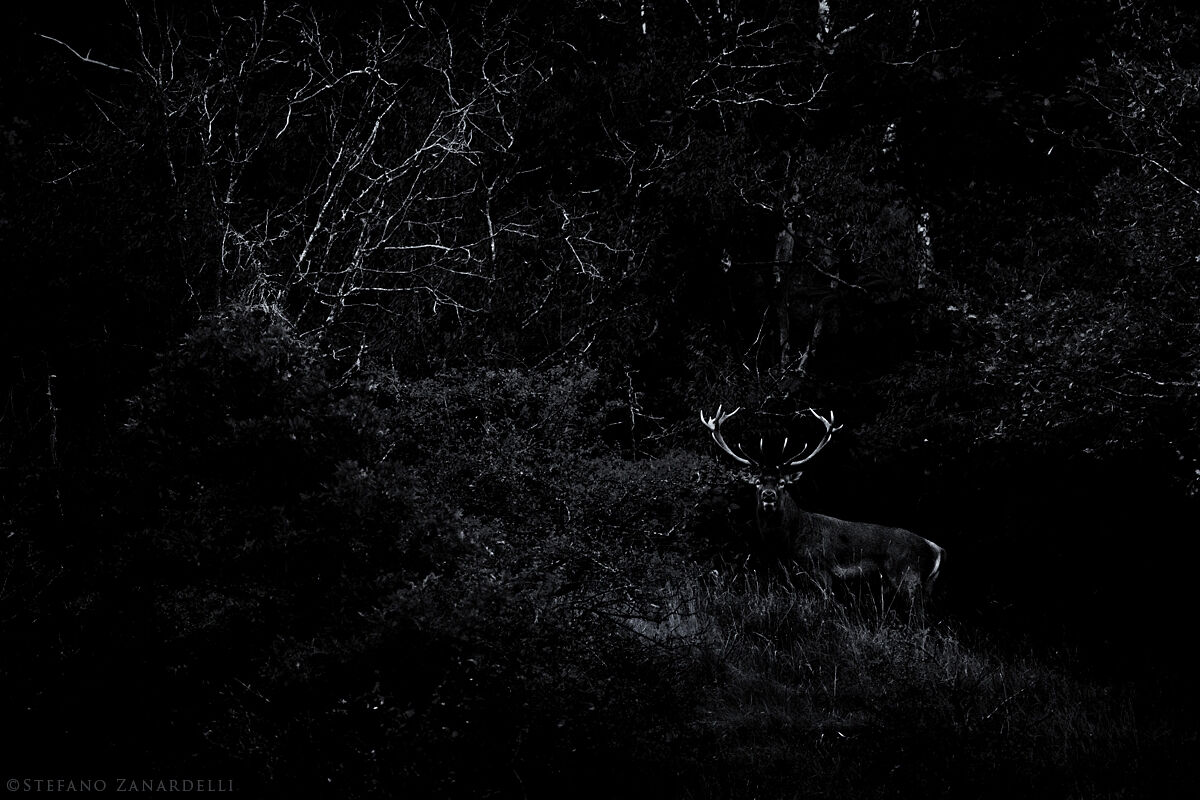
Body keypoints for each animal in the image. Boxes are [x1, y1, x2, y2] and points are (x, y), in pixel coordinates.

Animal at [700, 406, 944, 603]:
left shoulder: (822, 569)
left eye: (782, 483)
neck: (790, 541)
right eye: (758, 482)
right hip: (924, 585)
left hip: (908, 576)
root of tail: (936, 549)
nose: (769, 495)